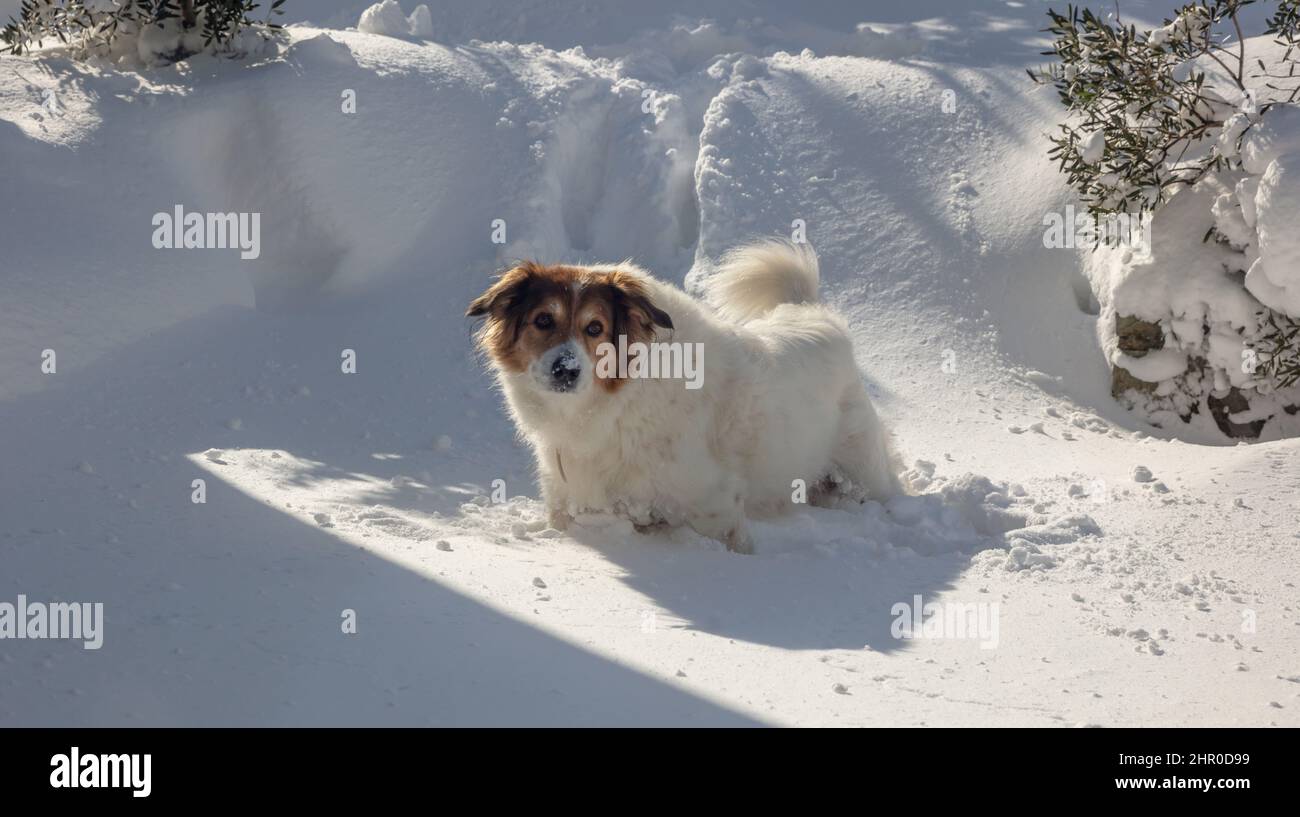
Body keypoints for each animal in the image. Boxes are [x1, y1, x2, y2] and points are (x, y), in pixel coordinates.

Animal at [467, 239, 904, 551]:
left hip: (861, 474)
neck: (616, 403)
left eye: (595, 328)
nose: (566, 369)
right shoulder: (571, 496)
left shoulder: (714, 500)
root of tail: (811, 313)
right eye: (543, 320)